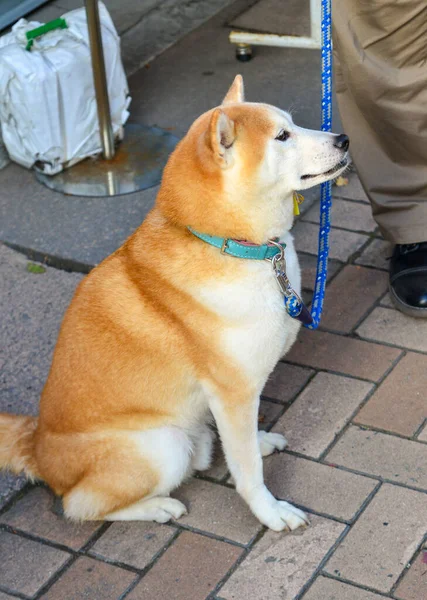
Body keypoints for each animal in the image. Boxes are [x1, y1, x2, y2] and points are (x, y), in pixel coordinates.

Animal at [0, 75, 352, 528]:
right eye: (282, 136)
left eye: (290, 125)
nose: (343, 139)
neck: (229, 244)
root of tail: (38, 446)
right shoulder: (233, 391)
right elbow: (248, 471)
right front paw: (270, 512)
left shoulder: (234, 398)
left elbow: (244, 444)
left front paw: (258, 441)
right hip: (163, 445)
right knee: (79, 506)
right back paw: (158, 506)